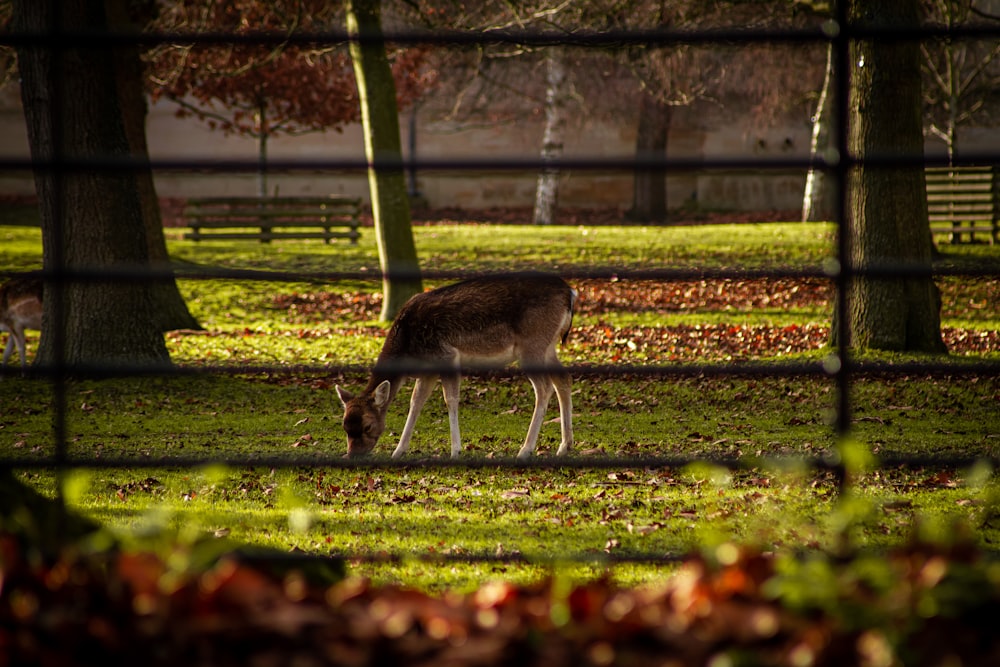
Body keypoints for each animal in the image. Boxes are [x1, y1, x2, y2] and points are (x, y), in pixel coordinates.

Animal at [336, 276, 576, 460]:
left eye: (367, 426)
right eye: (345, 426)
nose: (353, 454)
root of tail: (571, 294)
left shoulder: (446, 356)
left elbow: (450, 399)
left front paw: (455, 451)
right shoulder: (428, 371)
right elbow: (416, 402)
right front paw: (398, 451)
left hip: (532, 345)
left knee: (544, 388)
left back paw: (525, 450)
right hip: (548, 347)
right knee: (563, 379)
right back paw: (564, 446)